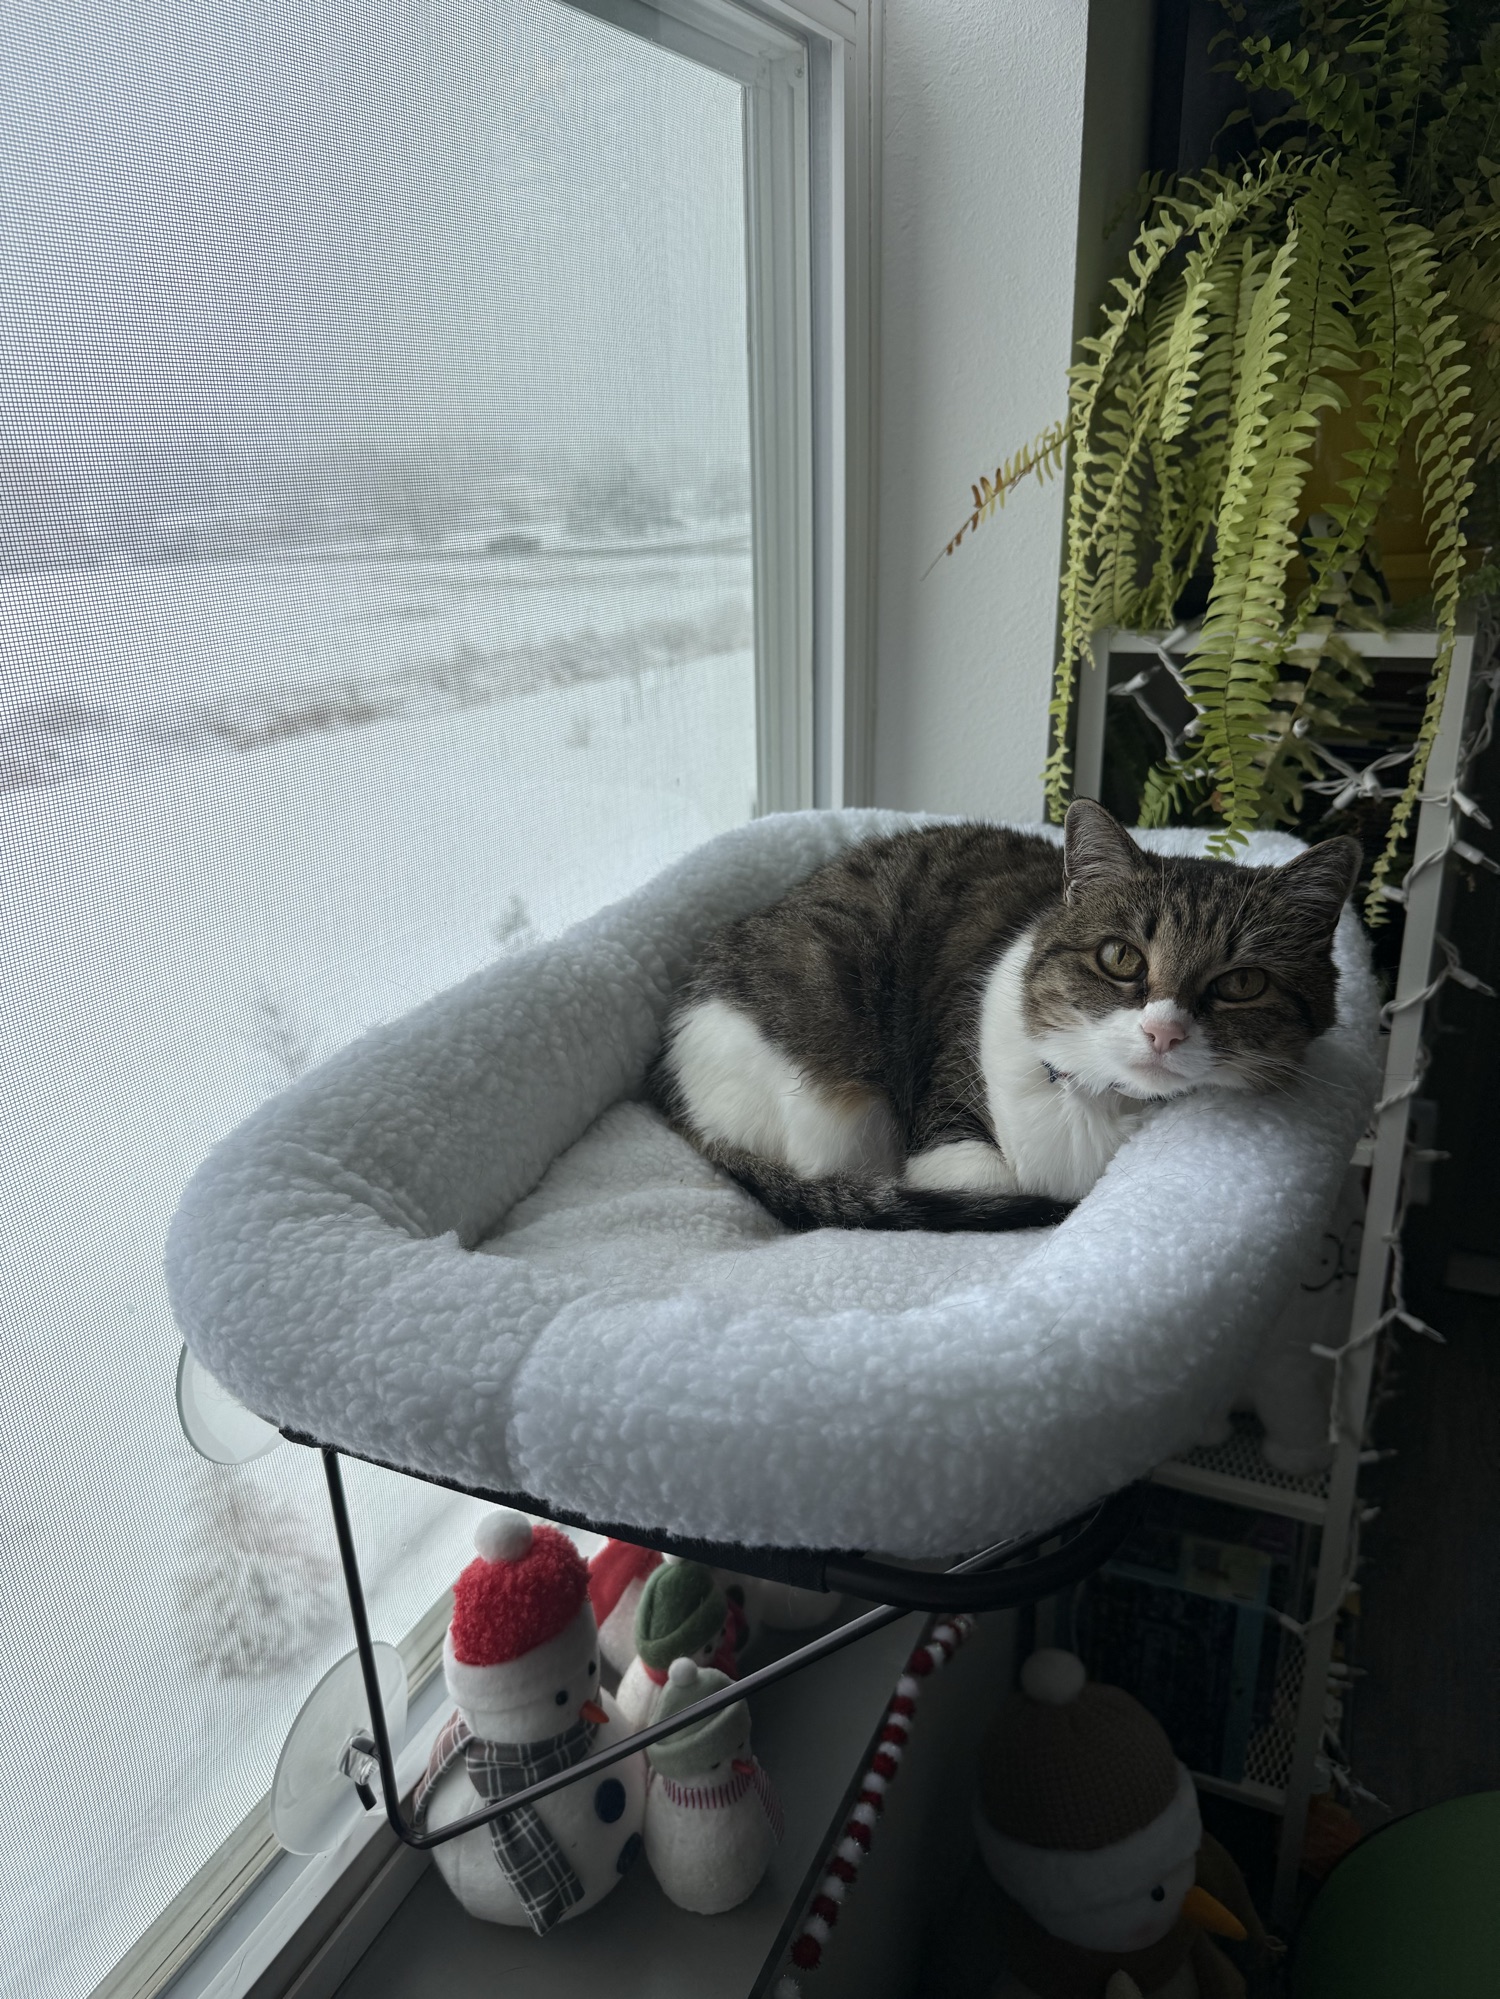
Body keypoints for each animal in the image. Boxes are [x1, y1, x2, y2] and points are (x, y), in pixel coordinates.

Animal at [650, 800, 1361, 1232]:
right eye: (1120, 958)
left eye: (1241, 983)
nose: (1163, 1031)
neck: (1099, 1113)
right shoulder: (948, 1126)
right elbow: (970, 1180)